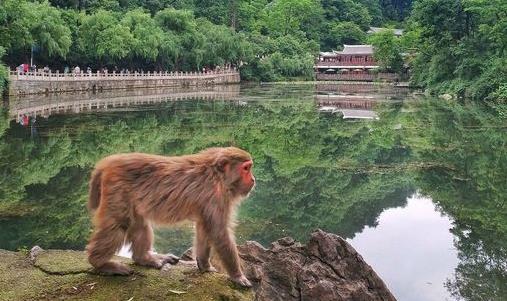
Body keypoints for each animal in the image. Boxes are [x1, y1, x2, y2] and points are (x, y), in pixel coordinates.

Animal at [86, 146, 258, 288]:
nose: (253, 179)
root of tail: (109, 161)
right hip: (117, 191)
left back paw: (144, 258)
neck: (217, 176)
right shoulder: (216, 195)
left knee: (140, 223)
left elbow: (204, 227)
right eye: (246, 168)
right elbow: (219, 232)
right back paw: (101, 263)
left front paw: (205, 265)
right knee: (118, 224)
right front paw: (238, 276)